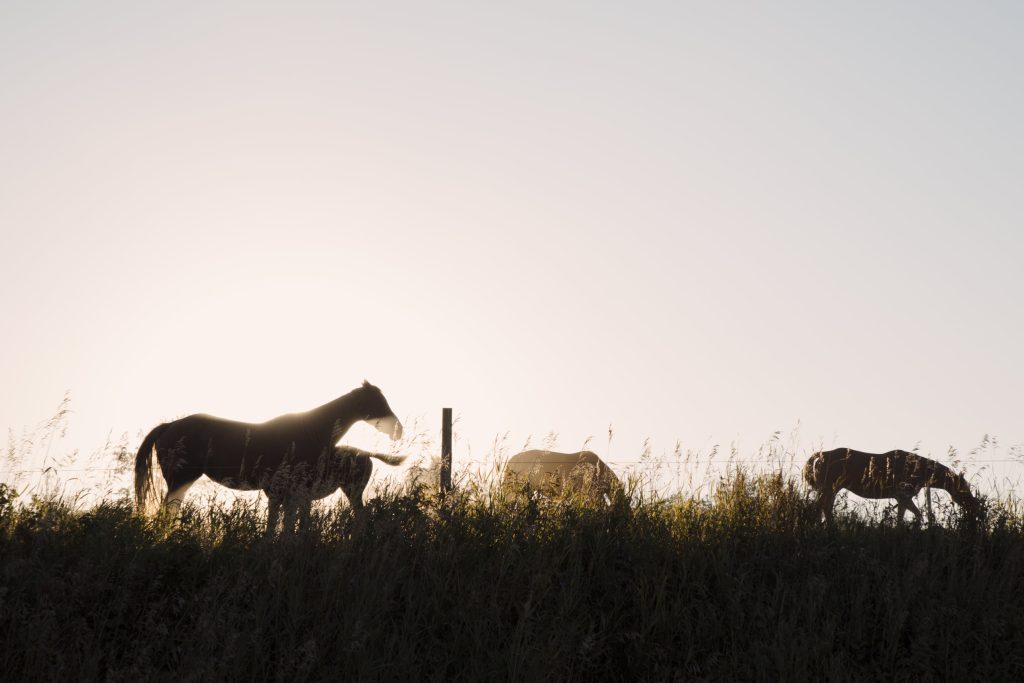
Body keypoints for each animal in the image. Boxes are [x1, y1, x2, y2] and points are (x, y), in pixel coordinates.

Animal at [134, 381, 404, 528]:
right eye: (378, 402)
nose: (398, 430)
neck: (310, 432)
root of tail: (169, 426)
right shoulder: (289, 492)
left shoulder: (288, 493)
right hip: (180, 479)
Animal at [803, 448, 977, 525]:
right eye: (964, 489)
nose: (973, 504)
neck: (917, 469)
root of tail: (821, 455)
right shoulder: (903, 497)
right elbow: (907, 517)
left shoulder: (903, 498)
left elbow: (916, 515)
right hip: (829, 488)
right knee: (821, 507)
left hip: (831, 489)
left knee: (825, 508)